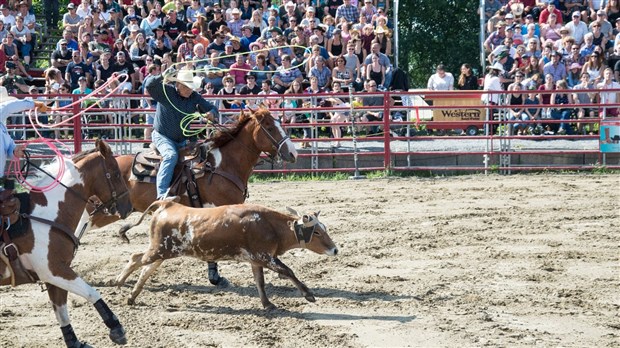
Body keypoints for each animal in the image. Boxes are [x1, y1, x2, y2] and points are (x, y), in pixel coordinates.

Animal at [0, 140, 132, 348]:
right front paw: (116, 328)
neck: (45, 216)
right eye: (116, 173)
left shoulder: (55, 275)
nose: (128, 207)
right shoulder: (54, 270)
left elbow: (61, 312)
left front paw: (74, 341)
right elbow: (91, 292)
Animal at [116, 201, 340, 310]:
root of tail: (166, 205)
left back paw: (132, 296)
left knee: (146, 268)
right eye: (316, 232)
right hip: (159, 250)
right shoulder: (265, 257)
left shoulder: (256, 260)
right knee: (136, 258)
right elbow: (288, 271)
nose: (335, 249)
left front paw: (267, 304)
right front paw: (308, 294)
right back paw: (118, 281)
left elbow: (260, 282)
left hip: (163, 252)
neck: (269, 224)